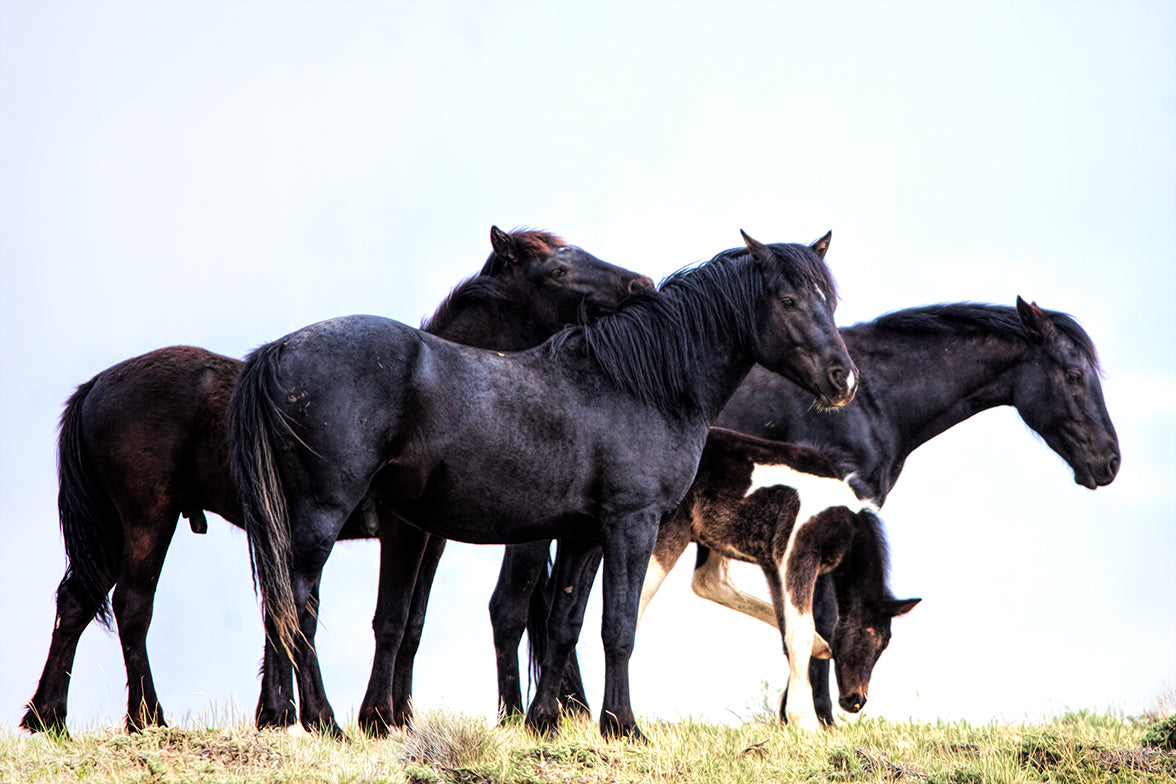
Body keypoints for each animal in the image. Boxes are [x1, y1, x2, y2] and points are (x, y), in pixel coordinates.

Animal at [20, 225, 653, 738]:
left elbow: (408, 622)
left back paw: (48, 716)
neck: (443, 387)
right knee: (134, 606)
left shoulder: (428, 537)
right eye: (557, 268)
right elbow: (388, 619)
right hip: (149, 520)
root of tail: (96, 385)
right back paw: (152, 717)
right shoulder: (404, 531)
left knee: (77, 601)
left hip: (113, 528)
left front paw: (387, 716)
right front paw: (367, 716)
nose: (640, 283)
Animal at [226, 228, 856, 742]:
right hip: (320, 516)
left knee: (283, 605)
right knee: (298, 605)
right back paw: (321, 719)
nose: (842, 378)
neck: (639, 383)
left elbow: (563, 623)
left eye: (829, 300)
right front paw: (622, 726)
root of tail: (278, 351)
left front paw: (544, 722)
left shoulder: (582, 535)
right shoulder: (631, 524)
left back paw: (280, 715)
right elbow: (618, 627)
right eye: (789, 300)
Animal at [635, 430, 917, 728]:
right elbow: (798, 629)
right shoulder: (799, 552)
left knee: (708, 581)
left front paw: (819, 649)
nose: (855, 701)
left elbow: (788, 627)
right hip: (672, 528)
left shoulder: (773, 563)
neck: (845, 522)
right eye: (871, 634)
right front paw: (805, 722)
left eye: (885, 642)